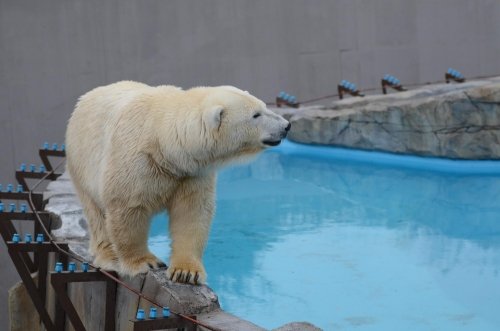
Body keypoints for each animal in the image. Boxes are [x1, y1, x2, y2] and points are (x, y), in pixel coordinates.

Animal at [65, 81, 292, 286]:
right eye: (256, 115)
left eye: (263, 106)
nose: (286, 126)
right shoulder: (136, 163)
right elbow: (128, 208)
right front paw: (145, 262)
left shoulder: (191, 172)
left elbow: (191, 213)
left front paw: (186, 272)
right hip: (81, 161)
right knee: (96, 214)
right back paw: (109, 256)